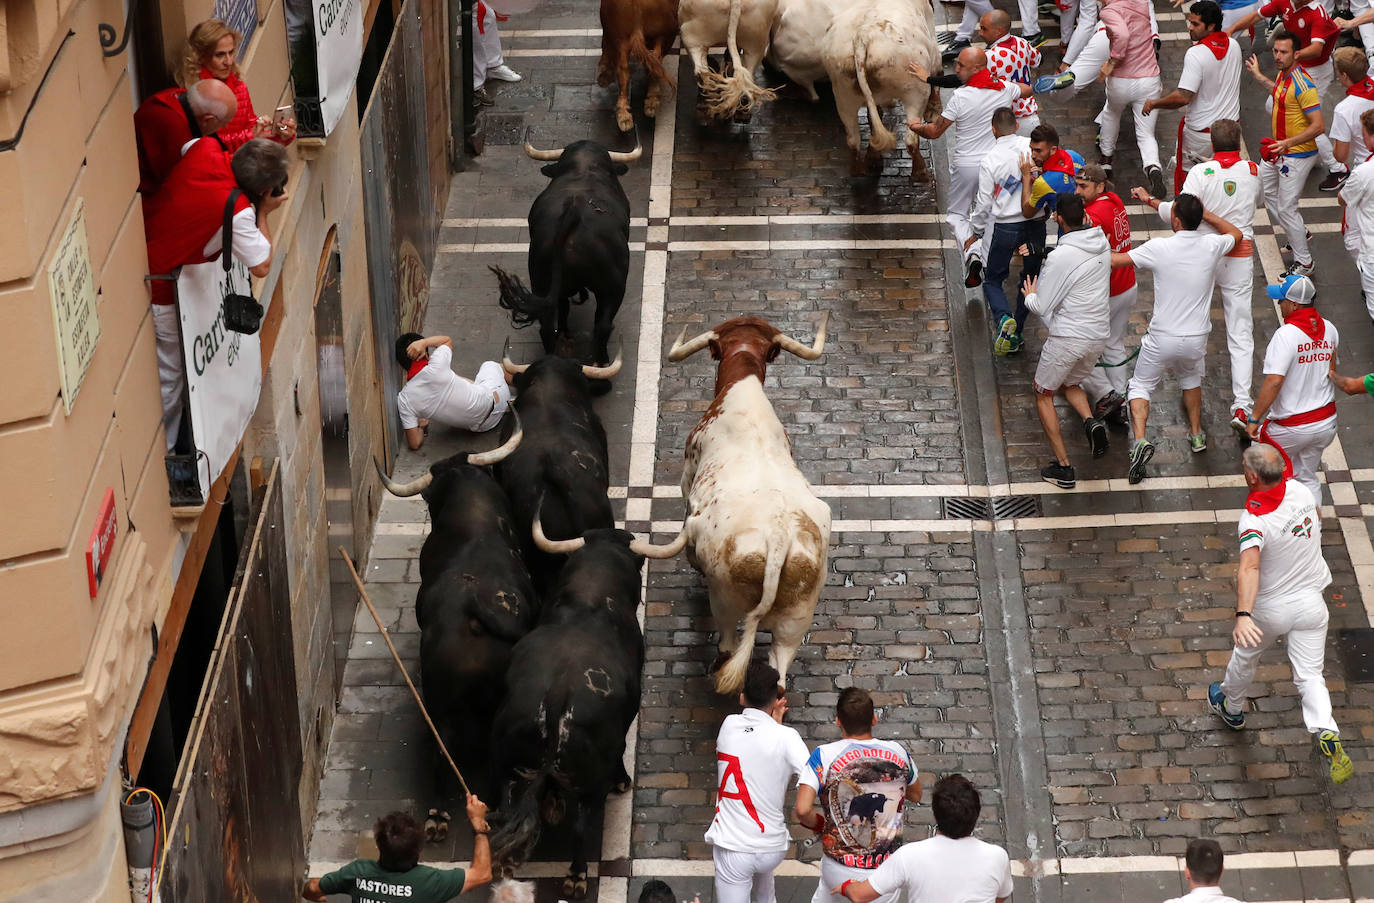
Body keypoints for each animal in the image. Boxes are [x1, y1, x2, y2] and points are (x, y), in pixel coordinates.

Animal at [491, 140, 634, 365]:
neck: (583, 167)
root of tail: (573, 213)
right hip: (614, 287)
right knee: (602, 325)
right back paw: (602, 360)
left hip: (541, 281)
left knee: (549, 325)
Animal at [662, 313, 824, 692]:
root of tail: (779, 539)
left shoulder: (687, 478)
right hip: (796, 620)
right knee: (779, 673)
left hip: (724, 600)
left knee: (726, 643)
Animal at [818, 0, 939, 180]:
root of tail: (862, 37)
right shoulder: (934, 46)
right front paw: (935, 111)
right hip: (915, 93)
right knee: (911, 139)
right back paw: (920, 173)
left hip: (842, 95)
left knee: (853, 140)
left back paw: (861, 167)